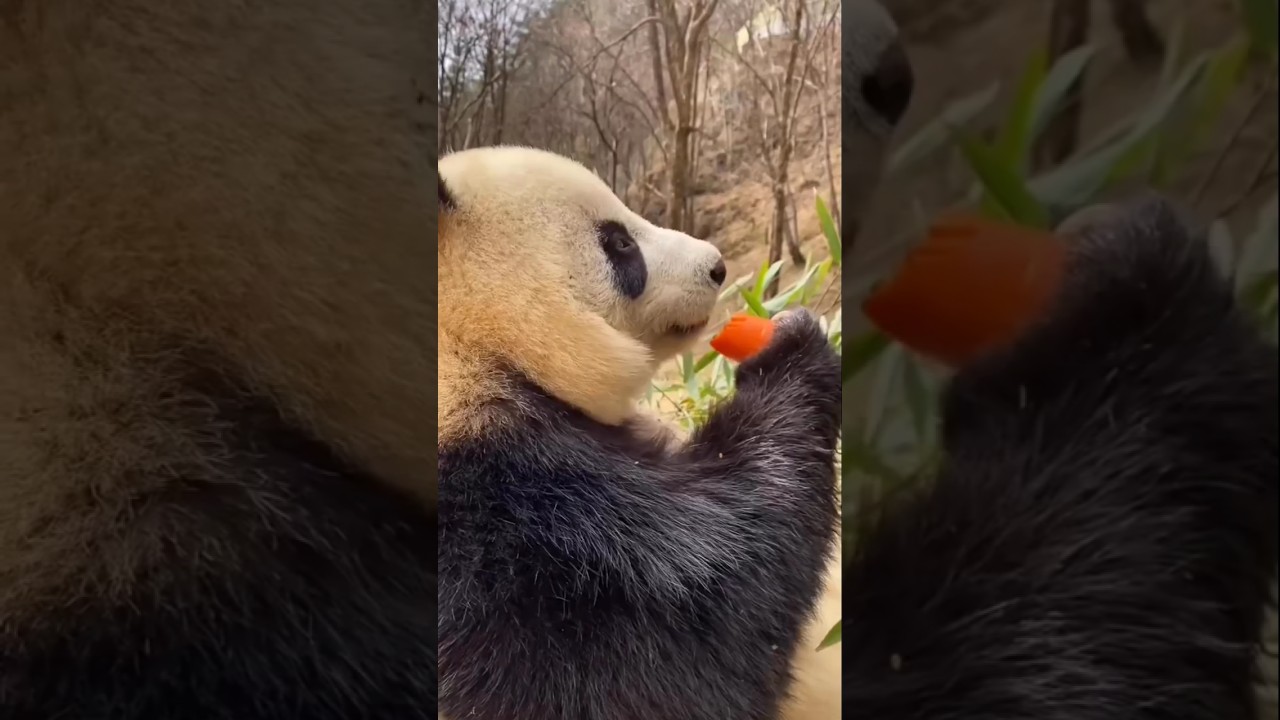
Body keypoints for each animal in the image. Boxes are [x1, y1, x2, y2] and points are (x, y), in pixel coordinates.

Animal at [437, 145, 844, 720]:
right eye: (619, 243)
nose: (718, 267)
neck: (468, 347)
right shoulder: (504, 541)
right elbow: (672, 651)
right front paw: (791, 348)